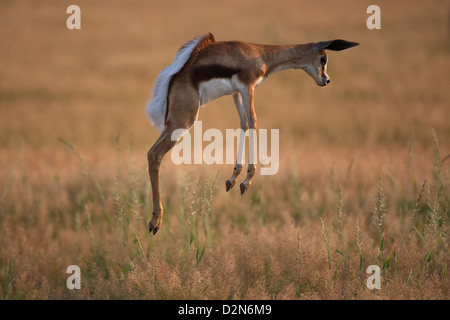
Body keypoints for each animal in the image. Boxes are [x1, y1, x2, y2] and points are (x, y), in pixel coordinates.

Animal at [147, 33, 358, 235]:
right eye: (323, 59)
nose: (326, 80)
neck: (260, 54)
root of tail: (174, 78)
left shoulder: (236, 92)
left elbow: (243, 123)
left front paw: (233, 179)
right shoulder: (247, 87)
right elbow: (254, 122)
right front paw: (246, 181)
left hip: (172, 125)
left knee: (150, 153)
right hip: (183, 123)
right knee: (156, 155)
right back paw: (155, 222)